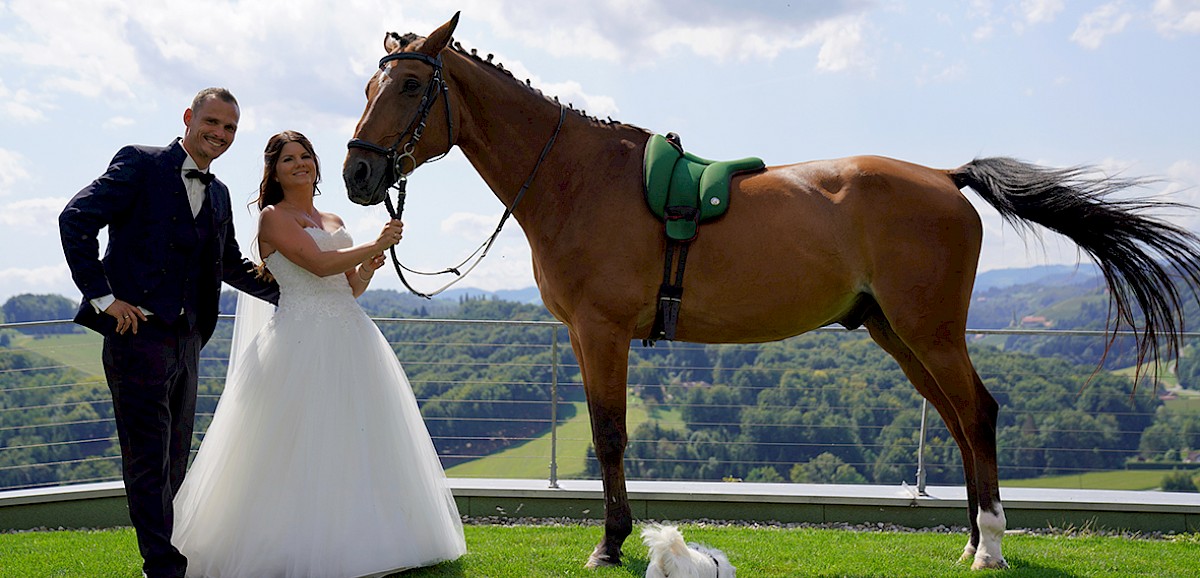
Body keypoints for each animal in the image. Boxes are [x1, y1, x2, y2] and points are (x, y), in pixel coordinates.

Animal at [343, 12, 1195, 568]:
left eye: (412, 83)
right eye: (368, 85)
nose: (356, 172)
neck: (578, 179)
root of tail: (945, 176)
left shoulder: (601, 330)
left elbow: (611, 436)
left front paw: (610, 542)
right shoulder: (592, 337)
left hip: (931, 331)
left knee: (979, 413)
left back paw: (989, 548)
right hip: (897, 333)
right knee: (958, 422)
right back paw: (970, 539)